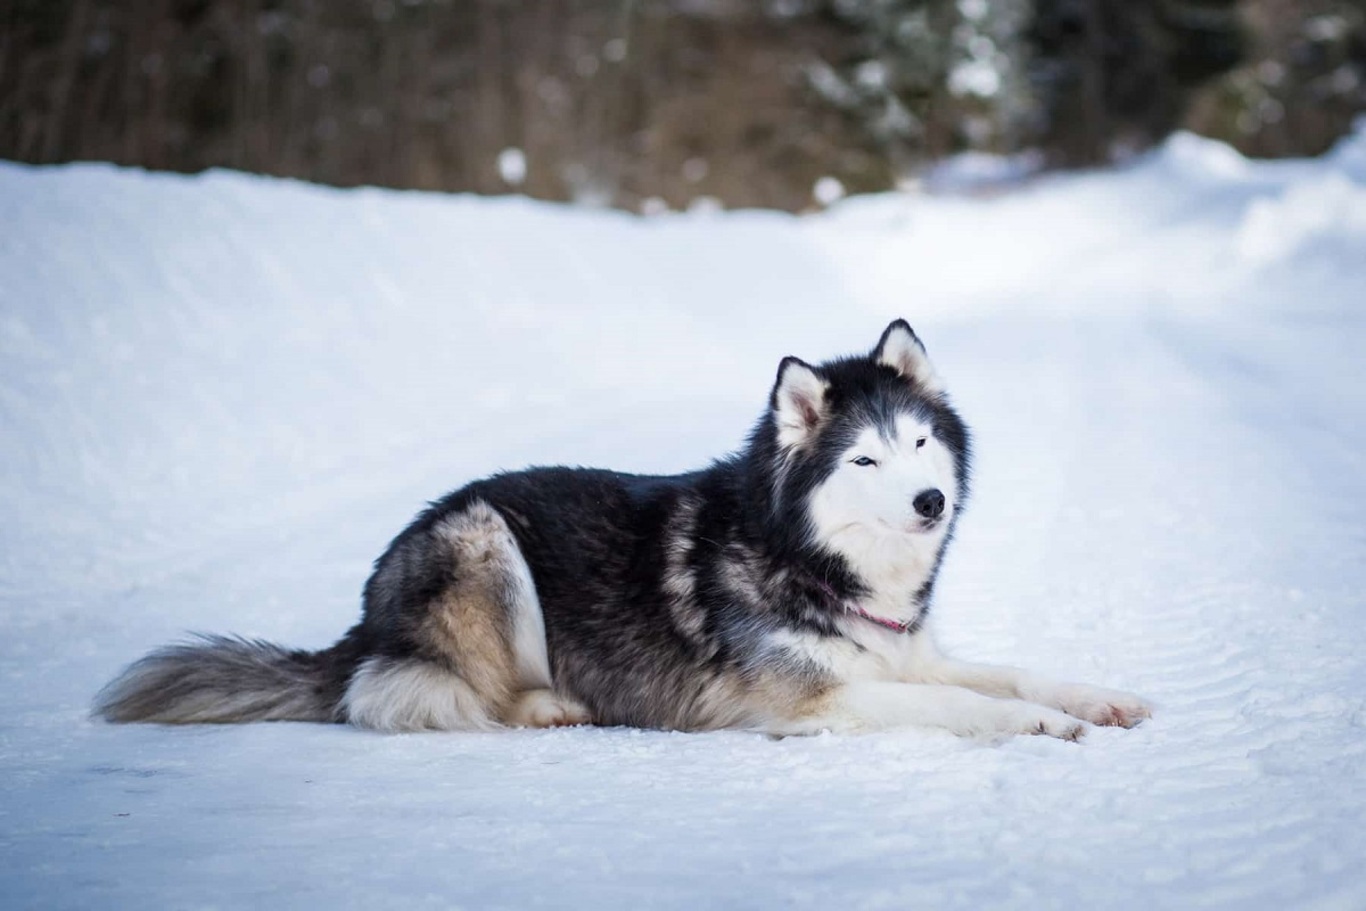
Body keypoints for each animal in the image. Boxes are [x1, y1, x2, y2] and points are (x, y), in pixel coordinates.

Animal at [90, 320, 1147, 743]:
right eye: (865, 461)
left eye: (921, 444)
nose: (930, 501)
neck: (810, 562)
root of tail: (362, 618)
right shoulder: (816, 700)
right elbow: (966, 703)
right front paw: (1042, 726)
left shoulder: (908, 655)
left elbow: (1008, 673)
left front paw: (1093, 697)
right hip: (485, 543)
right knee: (416, 696)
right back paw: (550, 706)